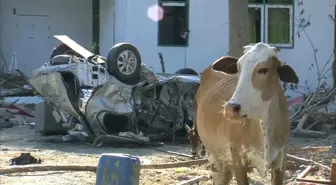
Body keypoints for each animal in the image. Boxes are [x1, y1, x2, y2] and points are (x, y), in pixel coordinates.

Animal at [196, 42, 298, 185]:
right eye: (238, 68)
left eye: (263, 69)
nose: (231, 108)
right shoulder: (238, 162)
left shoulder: (280, 162)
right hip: (213, 156)